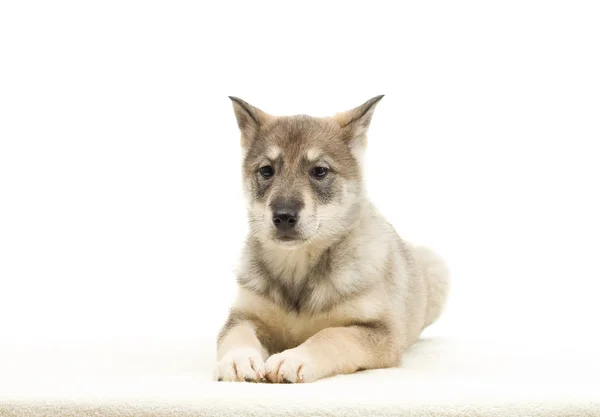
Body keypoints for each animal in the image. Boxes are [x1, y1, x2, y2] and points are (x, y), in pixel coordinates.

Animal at [216, 96, 450, 382]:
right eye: (267, 171)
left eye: (319, 171)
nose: (283, 216)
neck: (298, 267)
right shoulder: (245, 316)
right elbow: (236, 336)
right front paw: (238, 359)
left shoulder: (379, 332)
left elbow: (331, 336)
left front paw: (294, 358)